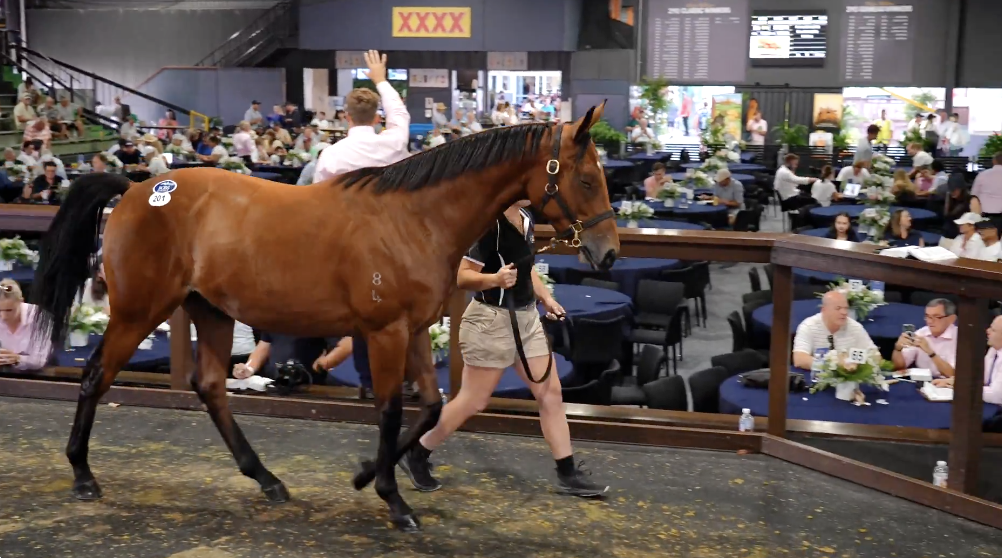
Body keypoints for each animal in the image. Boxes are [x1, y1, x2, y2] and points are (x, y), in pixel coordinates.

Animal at [30, 103, 620, 531]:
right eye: (588, 179)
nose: (608, 252)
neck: (415, 218)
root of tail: (137, 188)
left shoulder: (411, 332)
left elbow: (431, 406)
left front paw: (366, 476)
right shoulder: (384, 334)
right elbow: (389, 410)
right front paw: (393, 499)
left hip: (212, 311)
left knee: (211, 387)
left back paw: (266, 479)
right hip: (138, 310)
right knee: (96, 376)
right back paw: (83, 475)